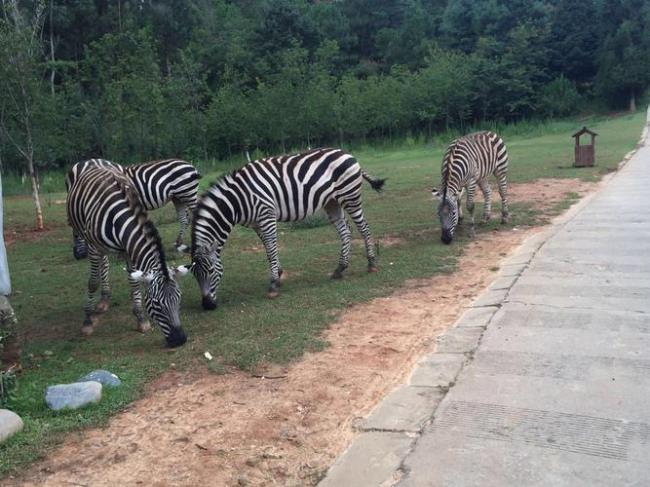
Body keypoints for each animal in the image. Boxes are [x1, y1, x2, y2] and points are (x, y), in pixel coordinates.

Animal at [66, 159, 200, 260]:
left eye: (75, 234)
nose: (78, 256)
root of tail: (190, 166)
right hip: (178, 197)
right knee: (184, 219)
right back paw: (178, 243)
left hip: (187, 193)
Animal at [67, 167, 190, 346]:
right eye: (157, 304)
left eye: (179, 299)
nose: (180, 340)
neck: (118, 218)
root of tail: (97, 166)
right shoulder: (94, 248)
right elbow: (92, 283)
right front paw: (87, 321)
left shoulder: (129, 248)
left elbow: (134, 283)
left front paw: (140, 318)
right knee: (99, 265)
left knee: (105, 264)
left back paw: (104, 299)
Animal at [187, 147, 382, 310]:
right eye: (194, 274)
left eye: (211, 271)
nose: (207, 306)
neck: (237, 200)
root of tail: (346, 153)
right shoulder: (256, 224)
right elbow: (268, 248)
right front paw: (278, 274)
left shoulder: (266, 216)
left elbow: (272, 247)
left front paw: (274, 284)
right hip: (332, 202)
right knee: (345, 231)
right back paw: (340, 269)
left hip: (350, 197)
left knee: (364, 227)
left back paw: (371, 263)